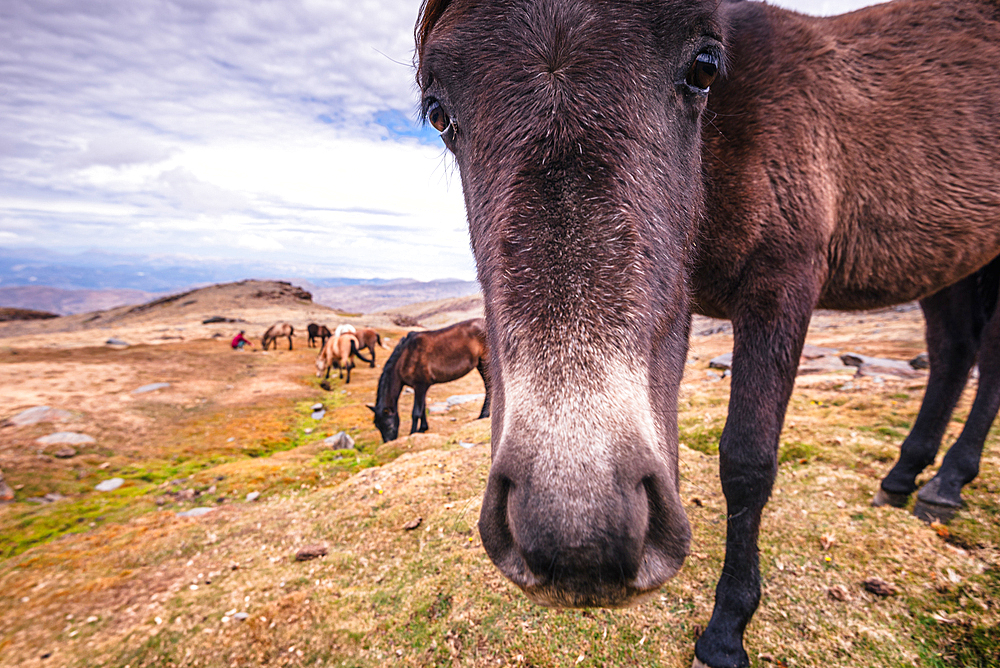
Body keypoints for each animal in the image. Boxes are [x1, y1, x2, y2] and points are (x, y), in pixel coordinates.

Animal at [414, 2, 1000, 664]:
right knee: (955, 353)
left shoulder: (783, 284)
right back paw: (906, 479)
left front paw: (726, 630)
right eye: (437, 113)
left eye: (703, 67)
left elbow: (747, 461)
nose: (577, 533)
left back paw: (946, 485)